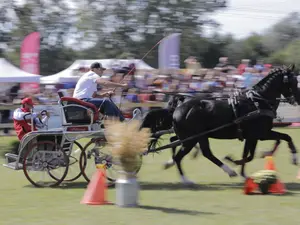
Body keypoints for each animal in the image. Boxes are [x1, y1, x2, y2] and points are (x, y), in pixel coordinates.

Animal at [164, 65, 300, 185]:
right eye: (293, 82)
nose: (298, 99)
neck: (258, 101)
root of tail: (180, 106)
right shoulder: (260, 134)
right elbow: (252, 154)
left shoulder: (254, 136)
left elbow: (251, 153)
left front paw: (244, 172)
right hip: (191, 139)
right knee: (182, 156)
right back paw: (186, 179)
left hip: (197, 137)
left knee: (201, 151)